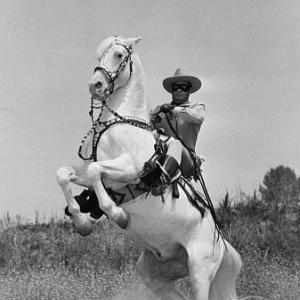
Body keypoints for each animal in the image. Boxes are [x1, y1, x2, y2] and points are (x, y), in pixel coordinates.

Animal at [56, 35, 244, 300]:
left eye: (119, 55)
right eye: (99, 55)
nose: (96, 85)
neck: (121, 123)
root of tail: (221, 242)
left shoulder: (128, 169)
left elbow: (95, 173)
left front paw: (118, 215)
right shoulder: (91, 170)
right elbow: (65, 173)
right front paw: (82, 221)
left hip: (200, 270)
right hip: (156, 272)